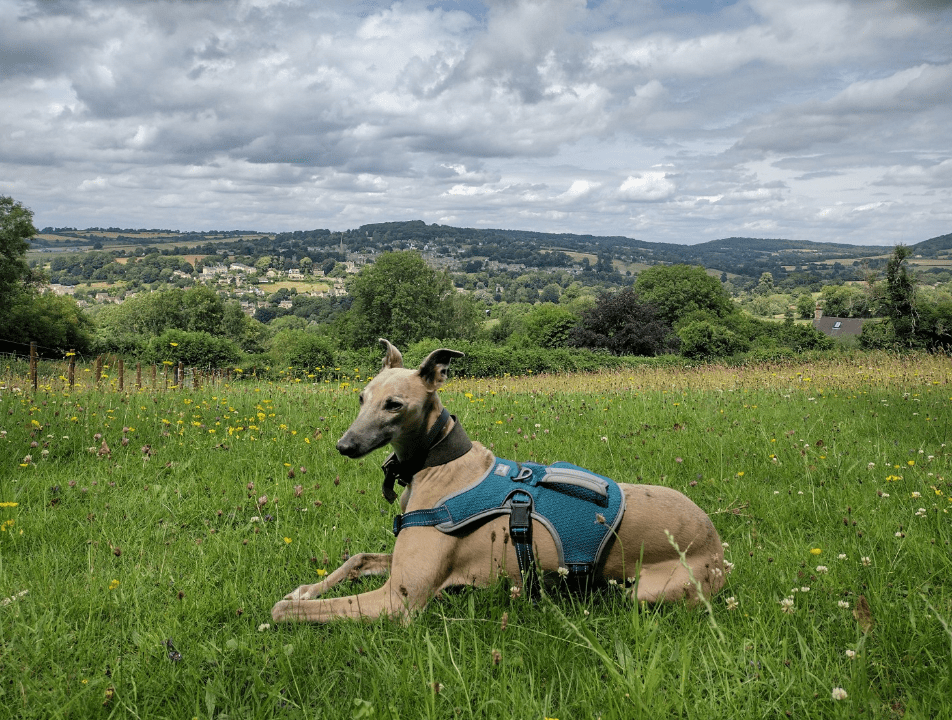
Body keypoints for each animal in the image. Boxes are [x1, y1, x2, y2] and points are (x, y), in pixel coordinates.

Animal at [271, 340, 725, 623]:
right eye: (361, 397)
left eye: (394, 404)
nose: (344, 446)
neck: (439, 463)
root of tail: (717, 546)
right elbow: (356, 559)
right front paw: (307, 589)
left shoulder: (398, 599)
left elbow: (281, 611)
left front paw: (286, 607)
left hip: (646, 591)